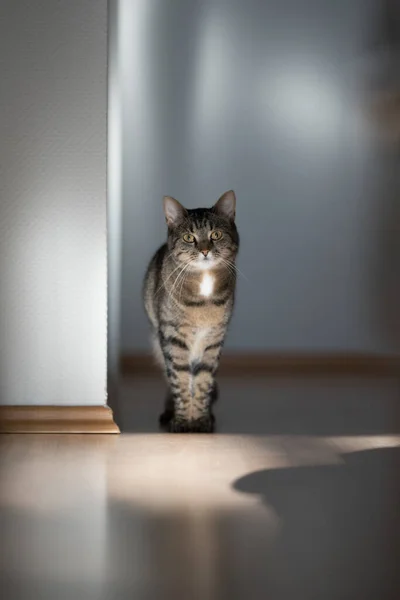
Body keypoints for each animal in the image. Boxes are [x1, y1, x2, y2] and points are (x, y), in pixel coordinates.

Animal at [143, 191, 239, 432]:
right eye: (189, 237)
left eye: (215, 235)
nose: (204, 250)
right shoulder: (172, 337)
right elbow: (180, 379)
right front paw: (183, 420)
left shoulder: (214, 339)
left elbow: (203, 381)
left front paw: (201, 420)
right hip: (158, 343)